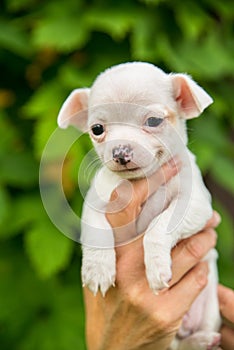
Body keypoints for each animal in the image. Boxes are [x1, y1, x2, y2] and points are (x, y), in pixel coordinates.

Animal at [57, 63, 221, 350]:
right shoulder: (95, 202)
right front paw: (97, 269)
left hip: (210, 308)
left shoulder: (196, 205)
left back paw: (203, 339)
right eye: (97, 129)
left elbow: (158, 227)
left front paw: (156, 266)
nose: (121, 152)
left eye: (153, 121)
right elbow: (96, 232)